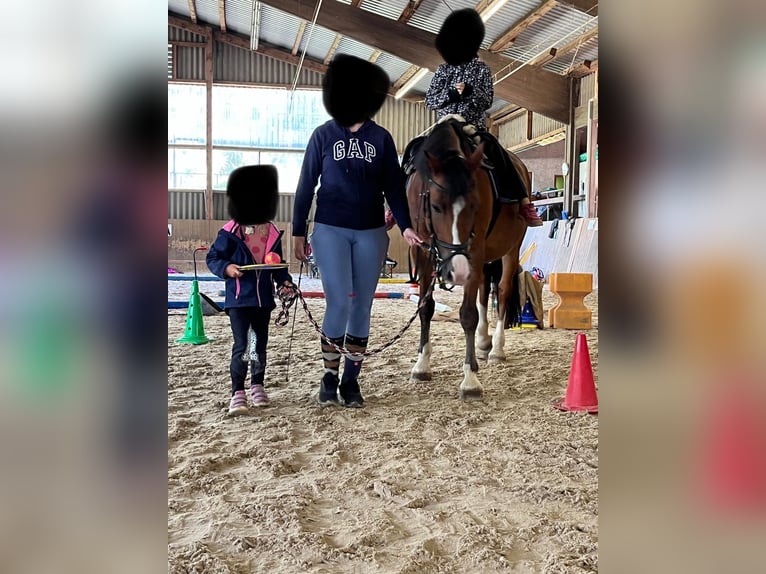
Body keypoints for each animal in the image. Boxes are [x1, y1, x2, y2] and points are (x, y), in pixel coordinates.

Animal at [404, 120, 532, 400]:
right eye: (436, 206)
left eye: (475, 206)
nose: (459, 272)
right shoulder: (424, 252)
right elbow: (425, 307)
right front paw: (422, 365)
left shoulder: (474, 251)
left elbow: (468, 315)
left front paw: (470, 380)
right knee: (484, 289)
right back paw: (483, 343)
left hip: (511, 248)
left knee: (502, 291)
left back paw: (496, 349)